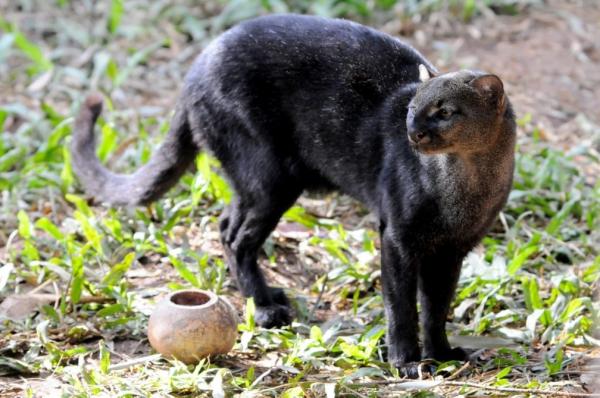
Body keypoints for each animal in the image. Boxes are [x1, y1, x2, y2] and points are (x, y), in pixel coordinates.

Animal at [71, 14, 516, 376]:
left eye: (445, 112)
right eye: (410, 108)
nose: (413, 132)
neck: (466, 188)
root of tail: (200, 63)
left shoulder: (452, 250)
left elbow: (437, 308)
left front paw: (442, 354)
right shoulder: (397, 238)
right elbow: (402, 306)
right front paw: (406, 361)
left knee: (228, 225)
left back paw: (268, 297)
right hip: (268, 178)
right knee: (233, 234)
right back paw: (266, 308)